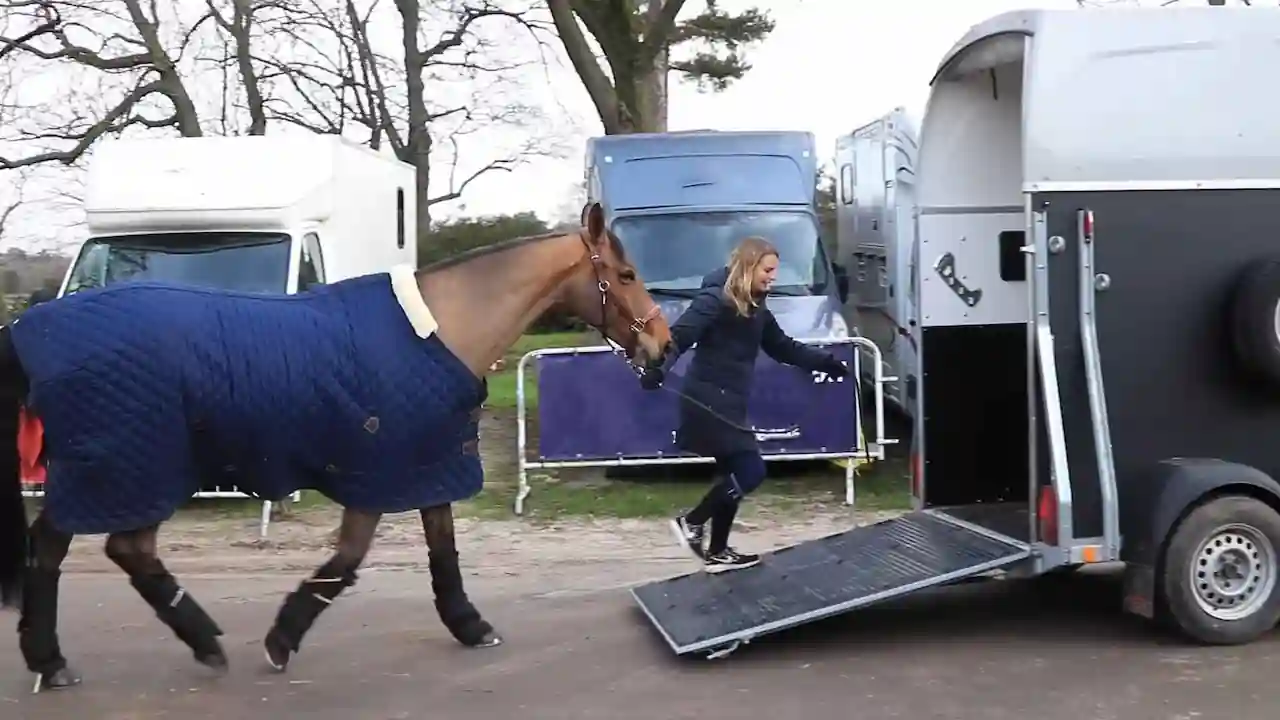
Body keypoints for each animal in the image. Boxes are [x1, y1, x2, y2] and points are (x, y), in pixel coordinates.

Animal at [0, 202, 672, 692]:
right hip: (127, 469)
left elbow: (443, 551)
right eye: (627, 275)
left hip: (129, 469)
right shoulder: (376, 474)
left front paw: (468, 623)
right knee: (84, 548)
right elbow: (347, 561)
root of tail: (32, 331)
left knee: (100, 549)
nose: (663, 347)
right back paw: (90, 654)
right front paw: (281, 638)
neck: (437, 329)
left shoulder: (425, 465)